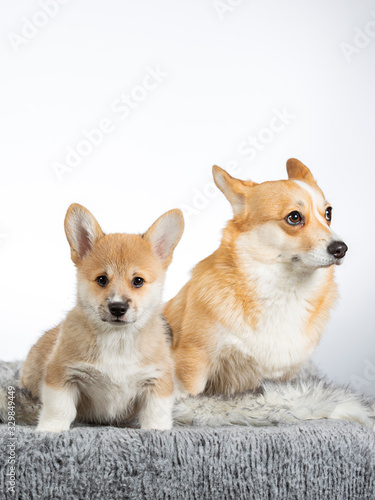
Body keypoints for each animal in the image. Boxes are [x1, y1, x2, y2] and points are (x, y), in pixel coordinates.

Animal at [20, 205, 185, 432]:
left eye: (138, 281)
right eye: (101, 280)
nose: (118, 308)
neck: (117, 339)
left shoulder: (156, 380)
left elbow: (155, 414)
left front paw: (157, 431)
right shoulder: (62, 375)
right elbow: (59, 409)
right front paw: (49, 430)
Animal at [165, 158, 350, 396]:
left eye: (328, 213)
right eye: (294, 217)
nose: (341, 249)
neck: (285, 290)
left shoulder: (284, 377)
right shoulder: (193, 361)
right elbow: (188, 393)